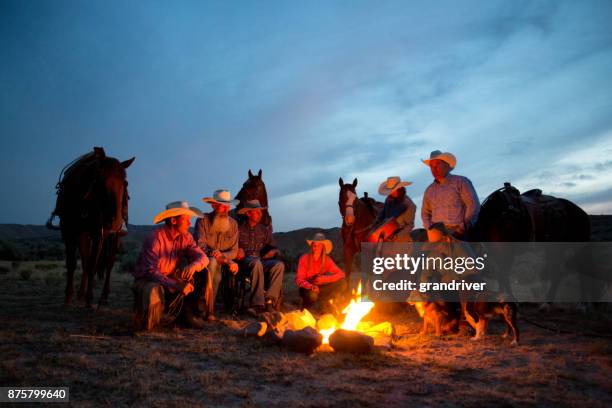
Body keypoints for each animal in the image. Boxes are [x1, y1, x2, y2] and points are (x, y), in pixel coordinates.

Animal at [48, 148, 135, 308]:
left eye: (125, 183)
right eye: (100, 180)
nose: (115, 221)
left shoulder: (99, 233)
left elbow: (93, 264)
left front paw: (90, 299)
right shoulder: (68, 232)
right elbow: (73, 263)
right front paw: (69, 296)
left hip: (114, 238)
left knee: (108, 264)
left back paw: (103, 297)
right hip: (85, 235)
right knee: (86, 260)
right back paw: (81, 294)